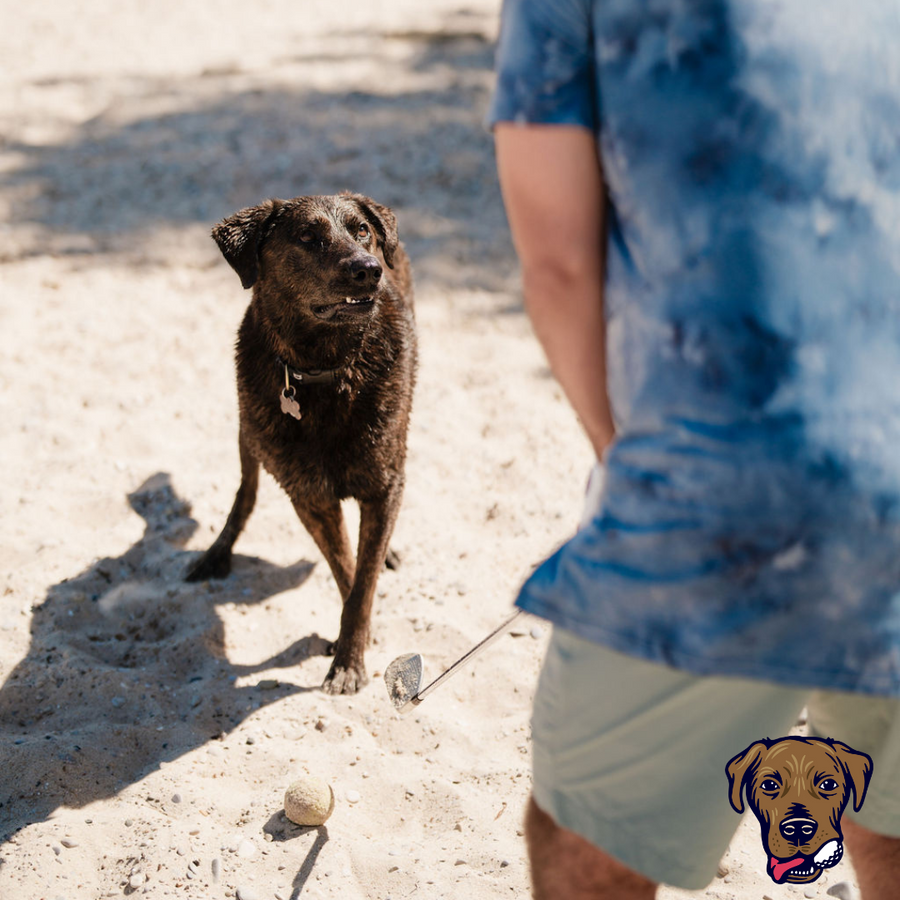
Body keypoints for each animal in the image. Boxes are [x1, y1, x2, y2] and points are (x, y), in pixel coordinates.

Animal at [189, 192, 418, 696]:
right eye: (309, 237)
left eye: (361, 231)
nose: (369, 269)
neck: (328, 369)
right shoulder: (309, 495)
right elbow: (347, 570)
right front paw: (354, 651)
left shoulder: (384, 484)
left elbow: (363, 578)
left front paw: (350, 658)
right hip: (248, 429)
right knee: (245, 492)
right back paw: (216, 553)